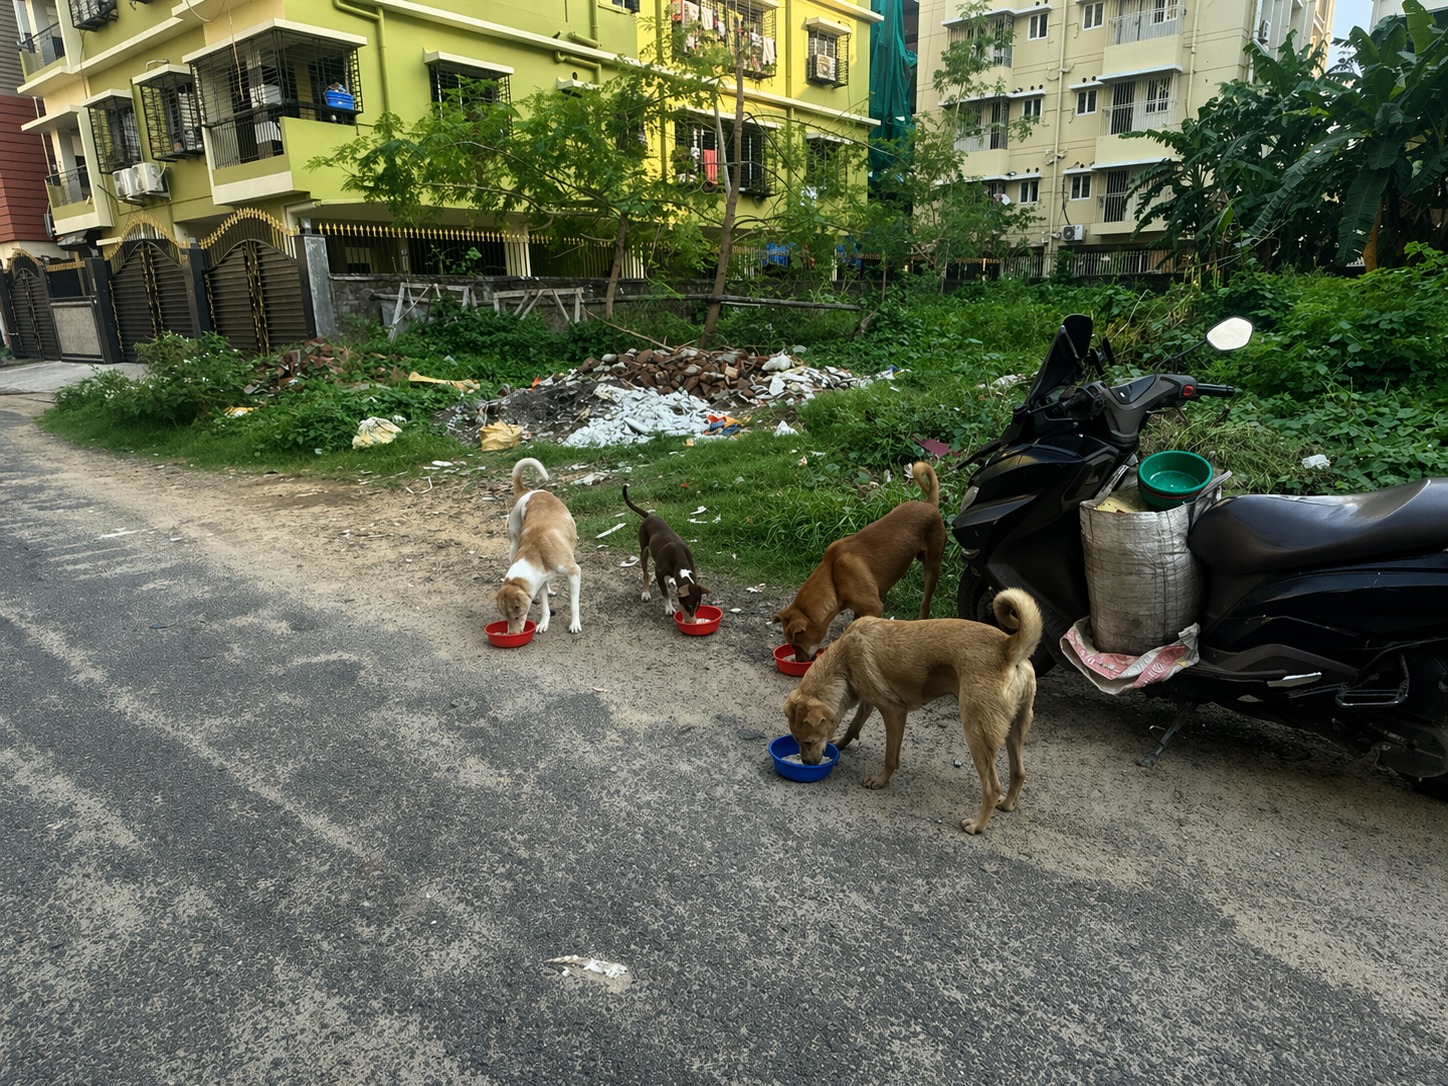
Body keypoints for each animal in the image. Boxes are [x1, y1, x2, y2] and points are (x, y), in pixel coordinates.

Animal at [494, 458, 582, 635]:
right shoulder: (539, 581)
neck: (535, 553)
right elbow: (545, 608)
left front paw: (575, 624)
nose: (512, 634)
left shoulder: (574, 573)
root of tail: (526, 492)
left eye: (517, 615)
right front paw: (544, 623)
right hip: (513, 545)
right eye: (505, 617)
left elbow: (574, 605)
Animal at [622, 485, 709, 621]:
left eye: (697, 607)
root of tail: (649, 516)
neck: (679, 558)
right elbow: (665, 593)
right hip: (644, 550)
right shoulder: (659, 573)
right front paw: (669, 608)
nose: (692, 622)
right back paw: (645, 592)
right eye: (688, 607)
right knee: (645, 573)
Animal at [772, 461, 945, 662]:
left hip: (932, 567)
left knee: (925, 603)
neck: (833, 577)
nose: (799, 661)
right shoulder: (859, 609)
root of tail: (929, 503)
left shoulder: (875, 608)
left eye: (796, 644)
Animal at [782, 588, 1042, 835]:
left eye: (808, 742)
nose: (806, 764)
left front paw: (880, 780)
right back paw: (1007, 804)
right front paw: (842, 741)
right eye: (797, 740)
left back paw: (977, 825)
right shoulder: (869, 699)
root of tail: (1007, 648)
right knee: (1019, 772)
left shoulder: (894, 710)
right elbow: (854, 725)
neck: (842, 662)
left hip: (977, 732)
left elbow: (891, 757)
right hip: (1015, 729)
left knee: (992, 786)